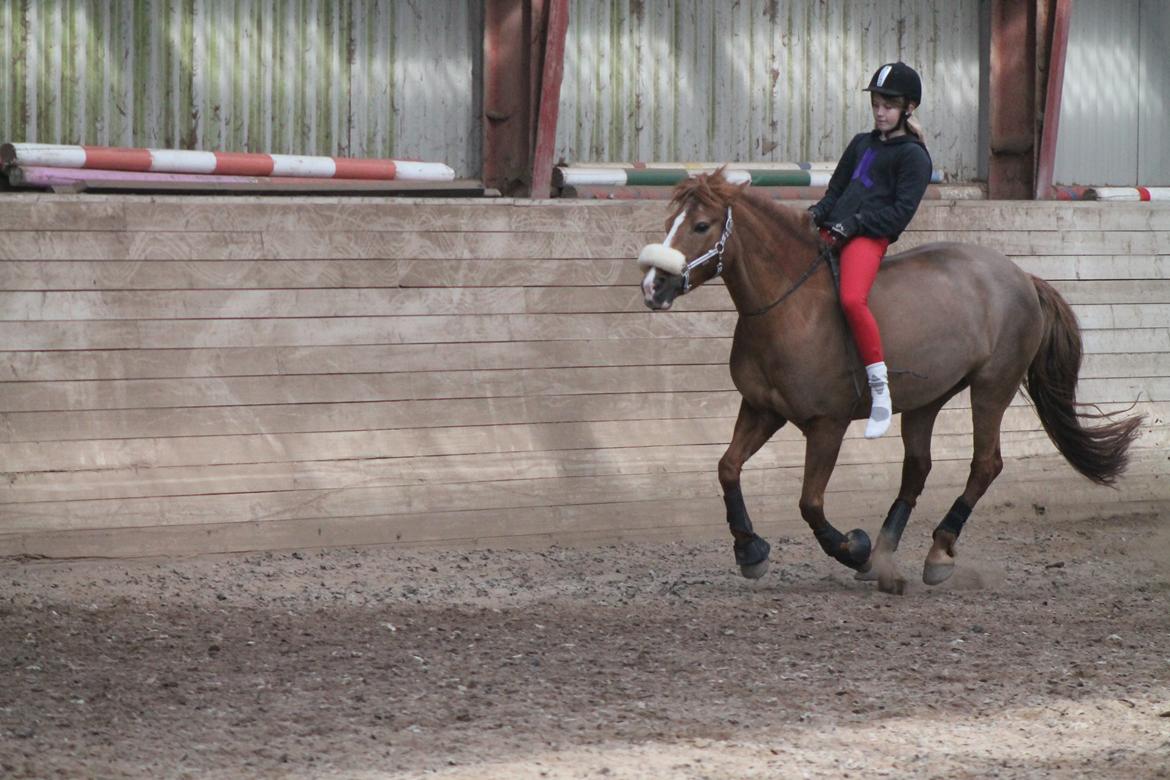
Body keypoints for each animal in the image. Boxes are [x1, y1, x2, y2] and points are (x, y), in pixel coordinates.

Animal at [641, 170, 1141, 594]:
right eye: (669, 223)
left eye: (701, 226)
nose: (652, 287)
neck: (789, 307)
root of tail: (1021, 276)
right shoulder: (762, 409)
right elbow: (727, 467)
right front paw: (751, 551)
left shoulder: (827, 424)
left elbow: (810, 503)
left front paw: (854, 550)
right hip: (926, 399)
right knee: (917, 468)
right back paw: (887, 556)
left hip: (992, 387)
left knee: (985, 465)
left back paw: (935, 553)